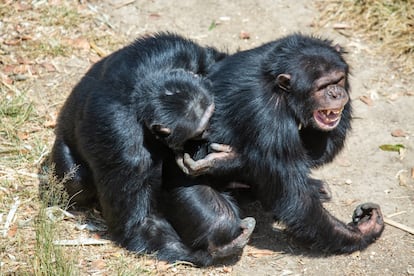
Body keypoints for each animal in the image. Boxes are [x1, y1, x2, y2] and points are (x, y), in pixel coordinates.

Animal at [50, 33, 254, 266]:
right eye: (200, 130)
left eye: (213, 113)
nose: (211, 131)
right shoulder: (123, 146)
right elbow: (141, 221)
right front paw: (210, 251)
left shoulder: (177, 49)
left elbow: (218, 61)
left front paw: (226, 159)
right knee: (77, 181)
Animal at [174, 33, 382, 256]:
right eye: (321, 87)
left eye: (338, 79)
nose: (335, 93)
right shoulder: (267, 114)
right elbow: (296, 199)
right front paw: (363, 230)